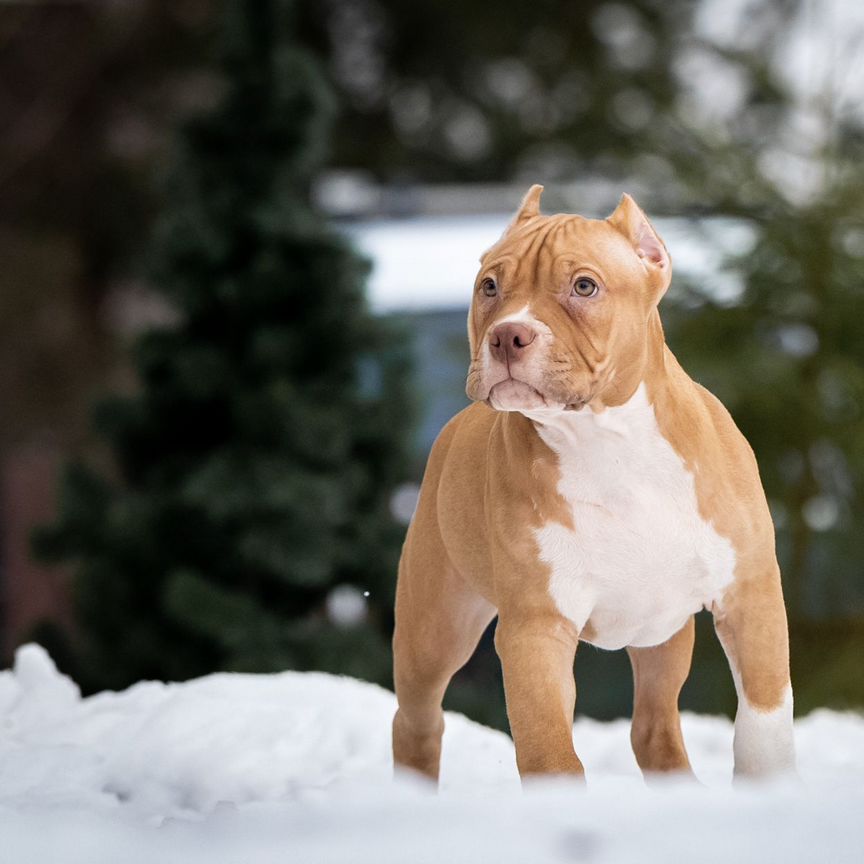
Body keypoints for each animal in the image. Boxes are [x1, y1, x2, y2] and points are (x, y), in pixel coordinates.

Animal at [394, 186, 796, 780]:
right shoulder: (536, 629)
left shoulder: (750, 594)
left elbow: (764, 722)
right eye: (489, 285)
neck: (606, 439)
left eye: (584, 286)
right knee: (416, 721)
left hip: (662, 632)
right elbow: (549, 750)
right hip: (435, 626)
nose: (507, 335)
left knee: (653, 725)